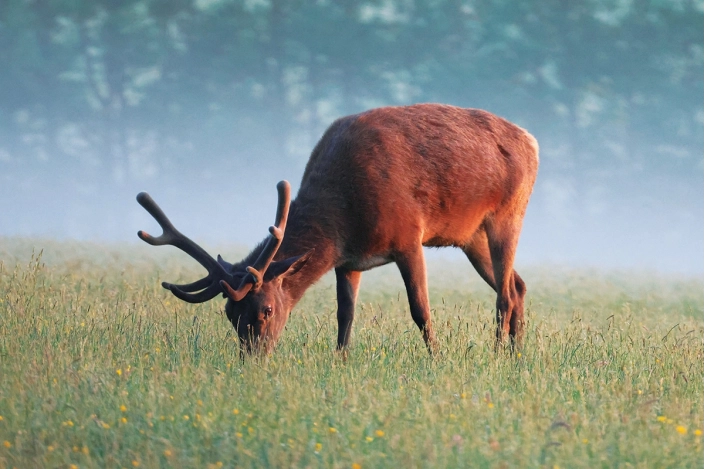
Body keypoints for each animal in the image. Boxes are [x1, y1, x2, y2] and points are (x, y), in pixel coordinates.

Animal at [137, 103, 539, 355]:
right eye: (230, 315)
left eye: (266, 310)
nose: (252, 358)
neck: (343, 218)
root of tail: (532, 142)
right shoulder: (348, 260)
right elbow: (345, 315)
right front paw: (340, 360)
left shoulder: (408, 235)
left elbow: (420, 309)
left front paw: (436, 358)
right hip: (471, 237)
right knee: (518, 284)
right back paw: (517, 357)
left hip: (508, 212)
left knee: (505, 293)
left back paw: (498, 354)